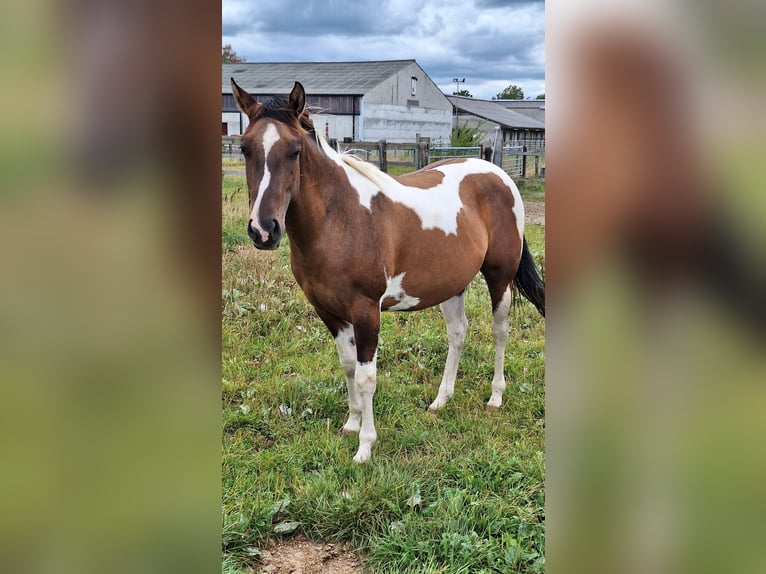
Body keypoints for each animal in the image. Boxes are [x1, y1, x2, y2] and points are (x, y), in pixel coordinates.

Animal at [231, 79, 545, 463]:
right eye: (245, 148)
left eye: (294, 150)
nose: (263, 230)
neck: (340, 219)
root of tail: (500, 175)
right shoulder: (329, 312)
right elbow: (348, 366)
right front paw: (351, 424)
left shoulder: (366, 311)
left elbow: (367, 377)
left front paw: (365, 446)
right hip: (451, 284)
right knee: (458, 333)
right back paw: (441, 400)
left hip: (499, 276)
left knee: (500, 331)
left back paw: (496, 397)